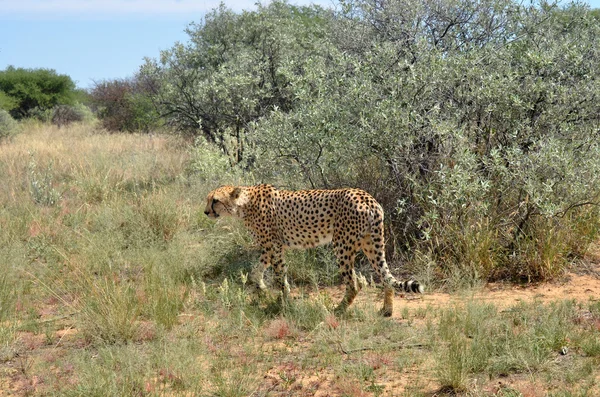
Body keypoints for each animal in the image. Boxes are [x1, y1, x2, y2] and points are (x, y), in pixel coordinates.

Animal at [204, 183, 424, 316]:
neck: (244, 204)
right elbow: (256, 271)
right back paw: (387, 310)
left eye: (215, 200)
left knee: (355, 283)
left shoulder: (274, 245)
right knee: (385, 277)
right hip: (371, 244)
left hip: (342, 245)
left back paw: (338, 310)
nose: (206, 212)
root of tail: (367, 197)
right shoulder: (269, 247)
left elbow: (279, 276)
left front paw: (284, 303)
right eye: (208, 199)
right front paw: (261, 289)